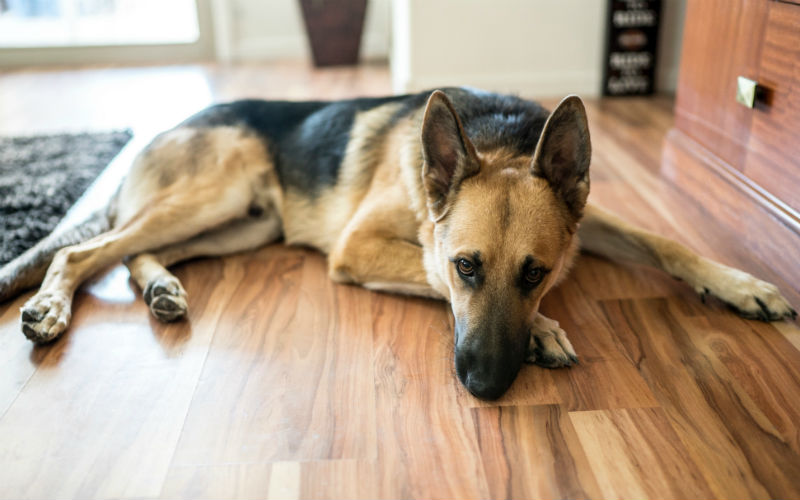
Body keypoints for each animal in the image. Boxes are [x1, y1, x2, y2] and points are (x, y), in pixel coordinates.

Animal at [0, 87, 792, 398]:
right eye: (467, 267)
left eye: (535, 273)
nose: (486, 388)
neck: (501, 138)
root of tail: (167, 124)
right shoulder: (358, 248)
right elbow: (429, 273)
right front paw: (543, 331)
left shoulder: (583, 223)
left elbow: (664, 241)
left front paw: (741, 284)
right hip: (215, 196)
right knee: (86, 252)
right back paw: (50, 308)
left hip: (240, 224)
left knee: (132, 252)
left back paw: (162, 288)